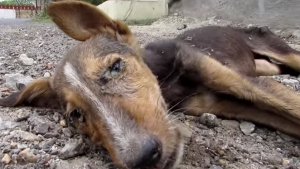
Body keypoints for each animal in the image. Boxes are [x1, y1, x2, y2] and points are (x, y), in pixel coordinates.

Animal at [0, 0, 300, 168]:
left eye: (116, 67)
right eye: (76, 115)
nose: (144, 159)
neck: (168, 85)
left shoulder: (244, 83)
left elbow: (292, 106)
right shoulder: (223, 104)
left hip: (278, 51)